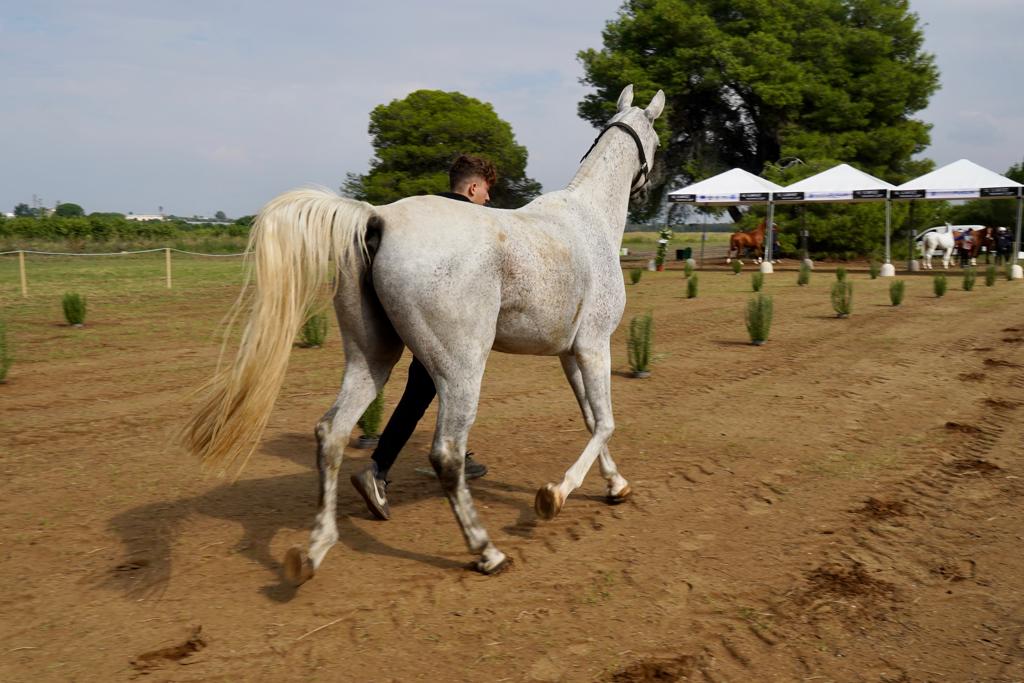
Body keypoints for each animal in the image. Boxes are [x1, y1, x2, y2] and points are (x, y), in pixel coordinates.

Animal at [181, 85, 665, 582]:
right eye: (658, 142)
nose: (653, 188)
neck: (588, 222)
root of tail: (377, 218)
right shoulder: (594, 346)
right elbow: (605, 421)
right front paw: (555, 495)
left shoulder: (569, 353)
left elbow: (590, 419)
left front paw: (616, 486)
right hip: (462, 370)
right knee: (446, 453)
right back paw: (486, 551)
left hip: (372, 360)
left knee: (331, 433)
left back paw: (317, 548)